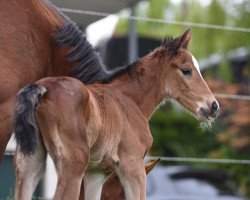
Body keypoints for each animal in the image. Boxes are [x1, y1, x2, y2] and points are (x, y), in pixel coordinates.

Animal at [12, 28, 219, 200]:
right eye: (186, 70)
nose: (213, 106)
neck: (129, 100)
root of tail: (42, 89)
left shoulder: (96, 173)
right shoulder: (132, 165)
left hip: (29, 165)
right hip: (73, 166)